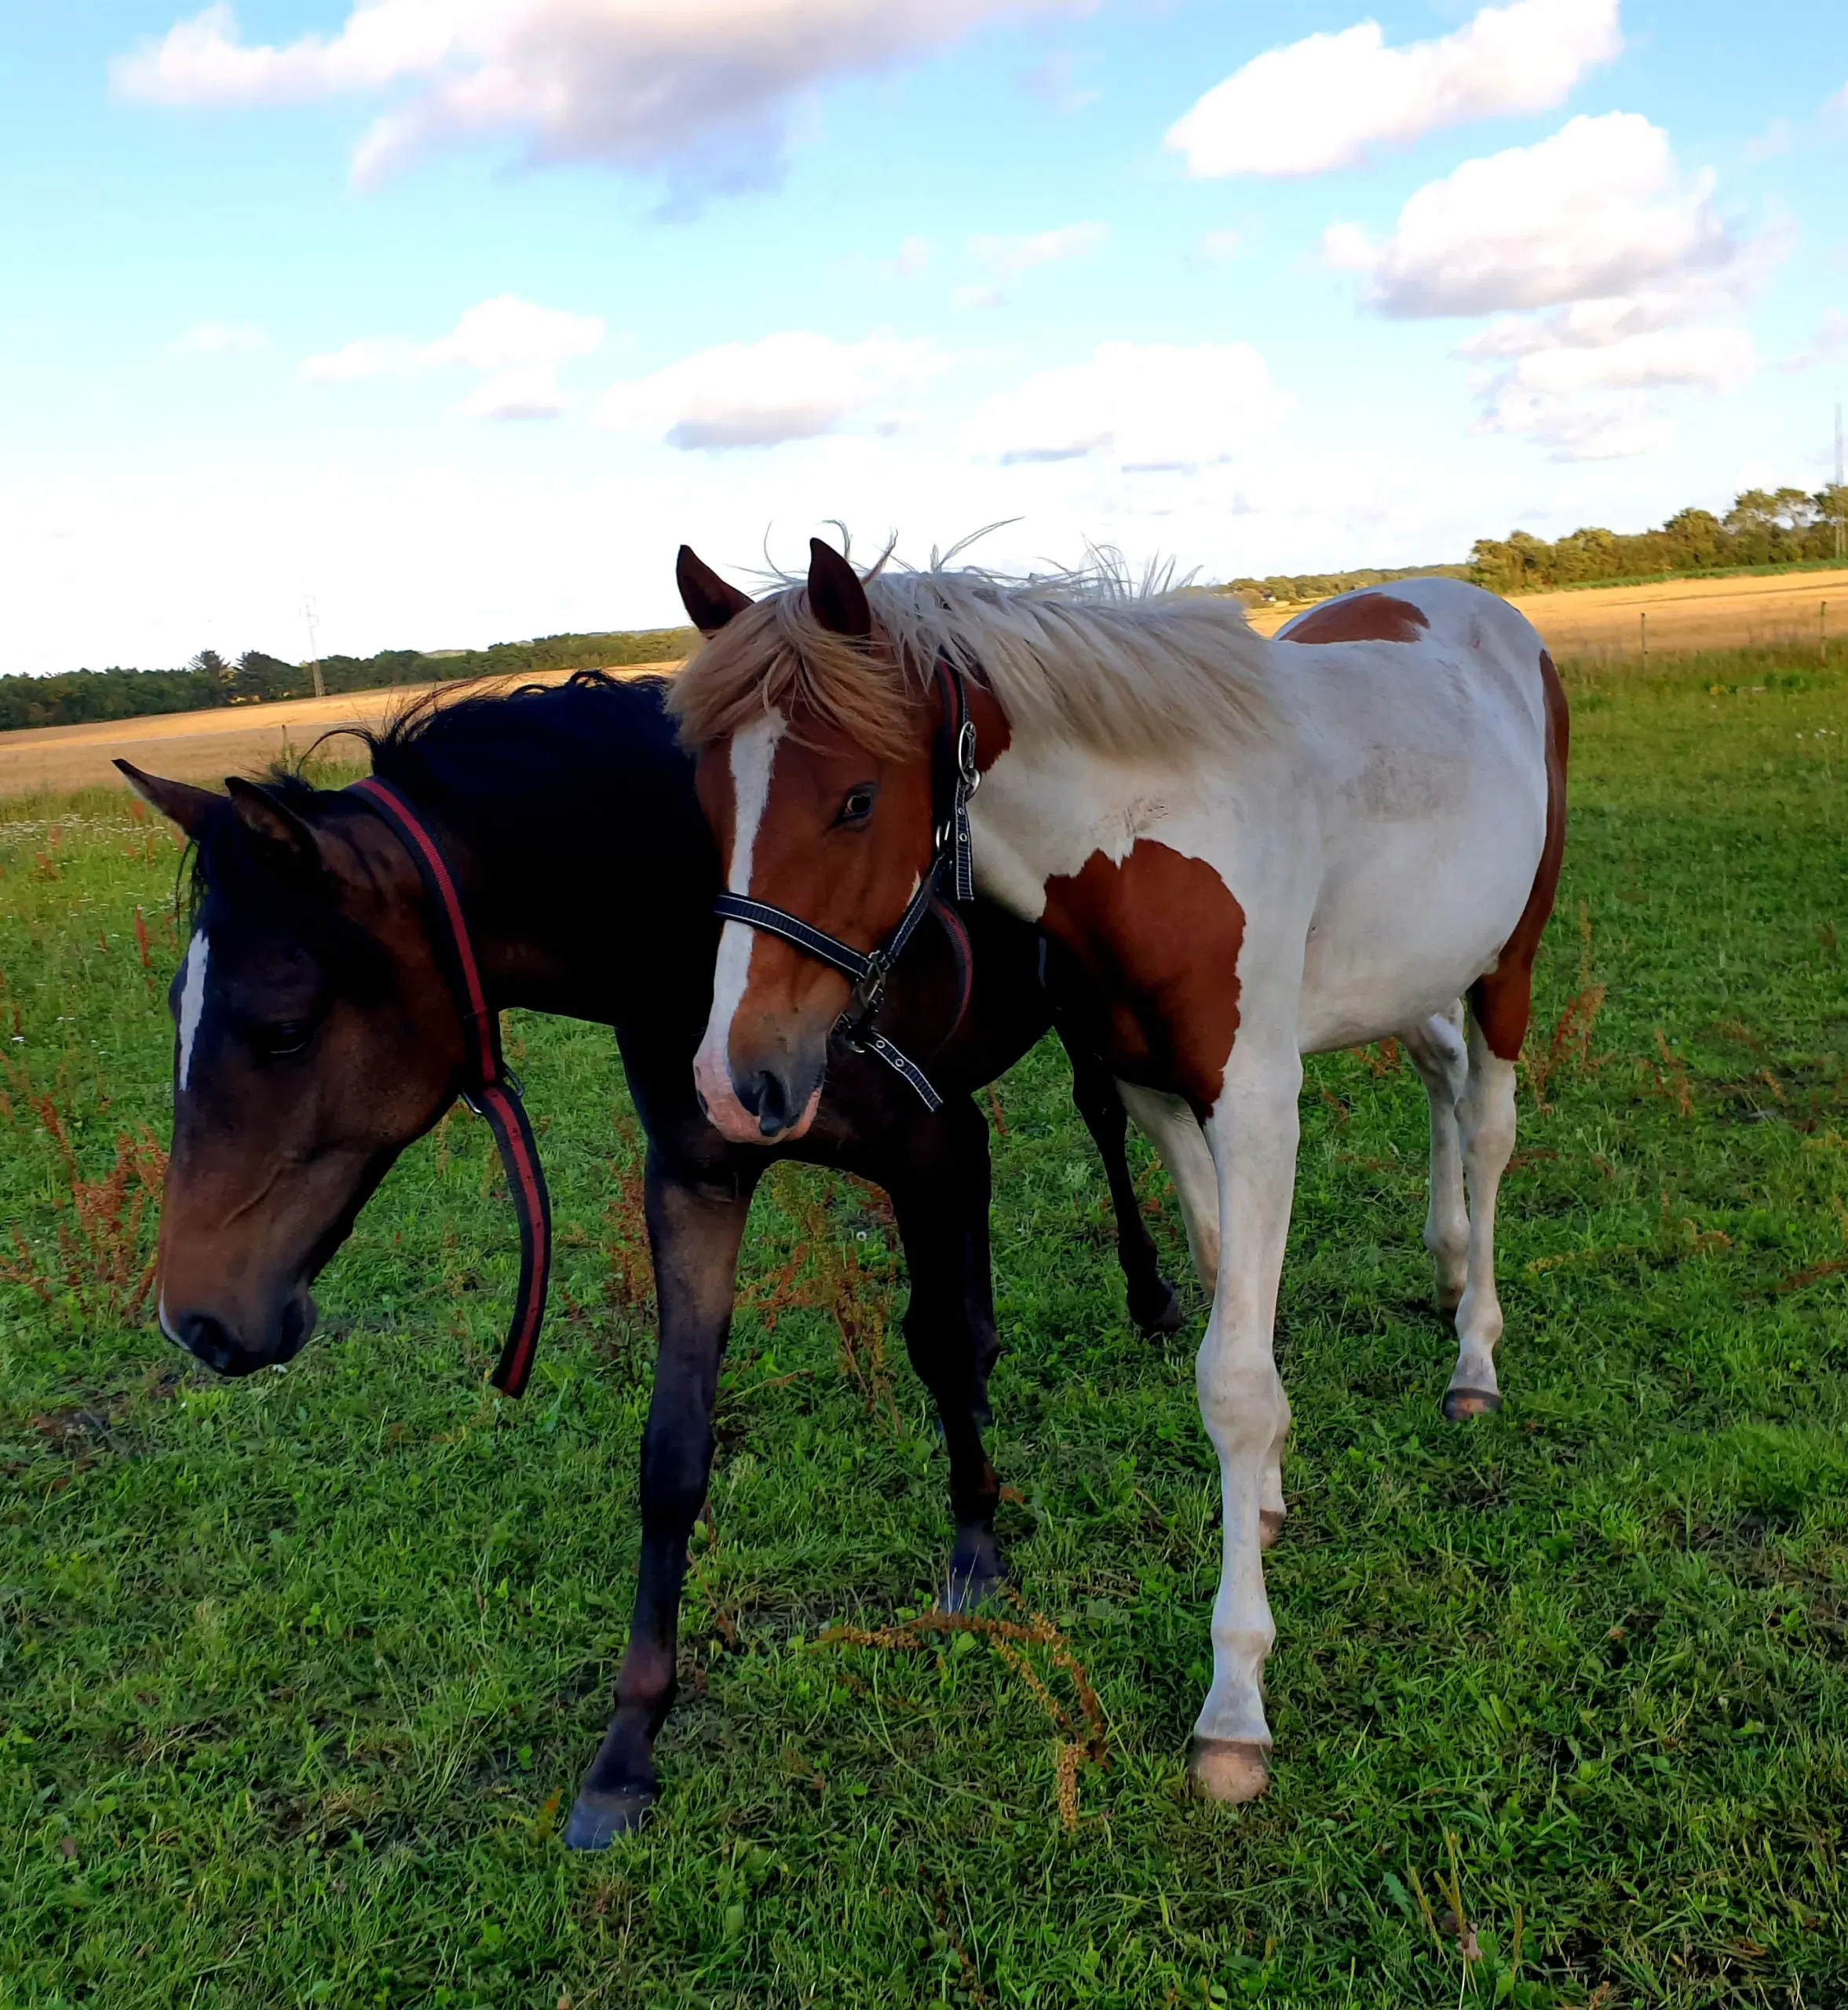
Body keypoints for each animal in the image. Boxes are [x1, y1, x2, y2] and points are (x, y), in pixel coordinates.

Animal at [115, 675, 1181, 1849]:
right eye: (174, 1015)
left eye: (285, 1030)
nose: (198, 1321)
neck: (706, 937)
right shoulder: (695, 1181)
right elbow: (673, 1451)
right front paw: (626, 1749)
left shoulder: (923, 1146)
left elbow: (938, 1346)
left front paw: (976, 1551)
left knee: (1100, 1120)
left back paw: (1152, 1298)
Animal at [670, 534, 1566, 1809]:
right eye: (709, 802)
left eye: (853, 799)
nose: (732, 1079)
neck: (1146, 834)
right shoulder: (1153, 1093)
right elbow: (1226, 1286)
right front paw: (1270, 1495)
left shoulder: (1257, 1100)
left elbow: (1230, 1381)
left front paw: (1234, 1698)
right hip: (1407, 970)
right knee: (1437, 1071)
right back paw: (1443, 1269)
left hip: (1509, 959)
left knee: (1487, 1127)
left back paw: (1474, 1350)